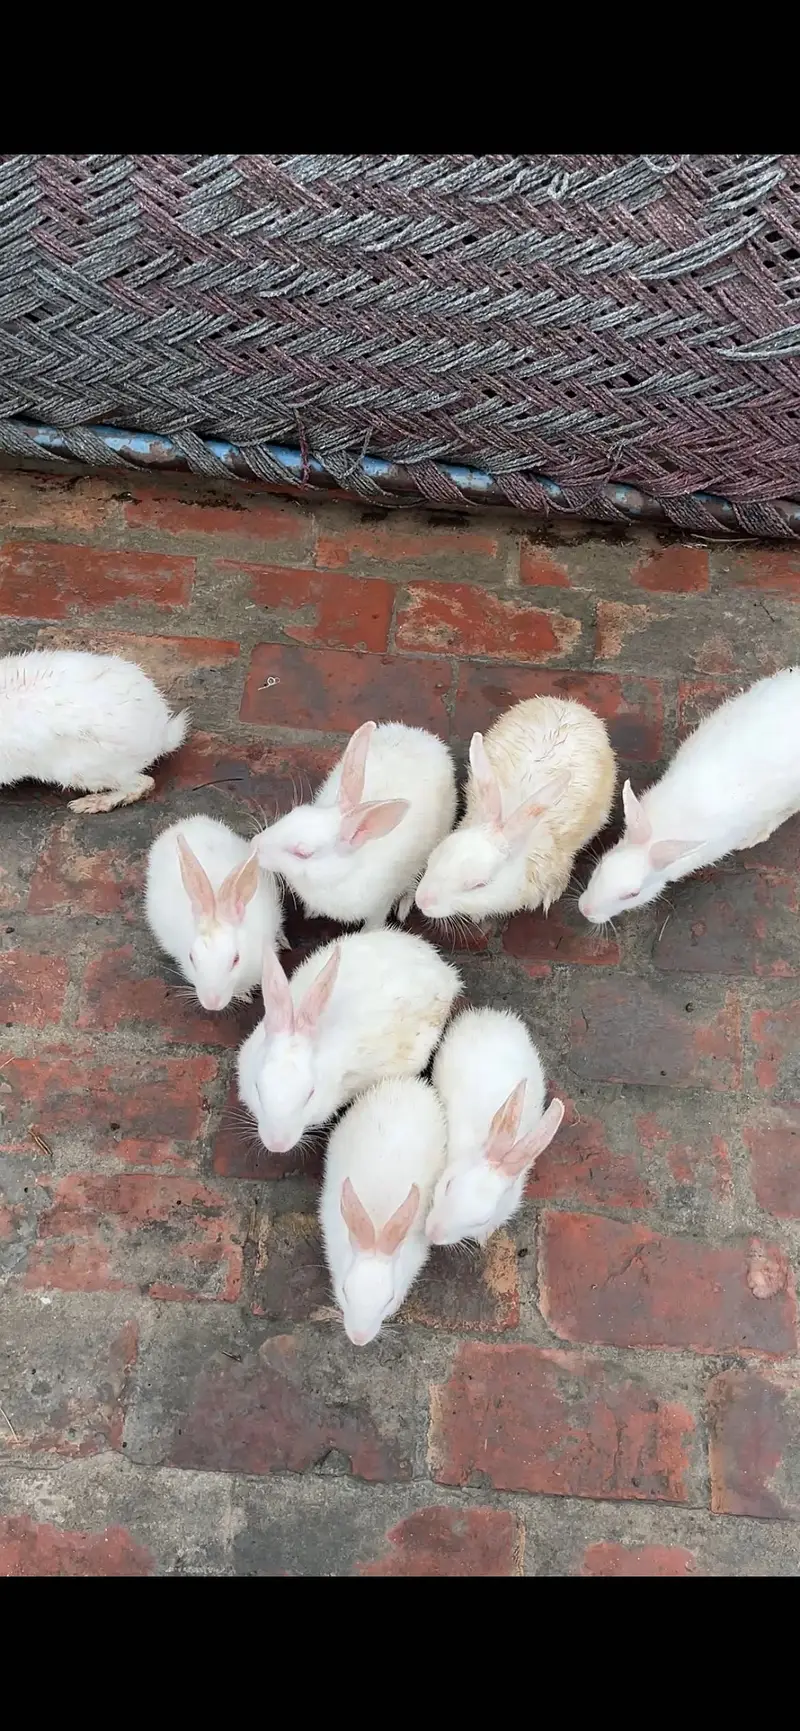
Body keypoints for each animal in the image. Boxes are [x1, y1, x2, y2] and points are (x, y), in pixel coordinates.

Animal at [255, 719, 458, 929]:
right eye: (294, 812)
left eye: (303, 853)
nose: (255, 844)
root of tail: (426, 737)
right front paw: (312, 912)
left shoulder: (381, 904)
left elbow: (373, 924)